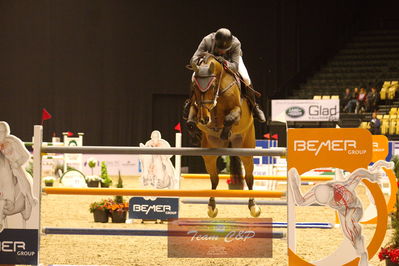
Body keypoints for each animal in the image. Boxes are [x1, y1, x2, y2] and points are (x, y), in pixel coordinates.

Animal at [188, 54, 262, 218]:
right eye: (195, 87)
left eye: (212, 85)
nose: (204, 119)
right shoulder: (197, 108)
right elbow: (193, 117)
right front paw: (196, 130)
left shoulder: (237, 111)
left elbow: (230, 118)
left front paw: (225, 132)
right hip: (209, 155)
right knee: (214, 179)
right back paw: (211, 207)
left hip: (246, 149)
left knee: (249, 178)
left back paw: (254, 206)